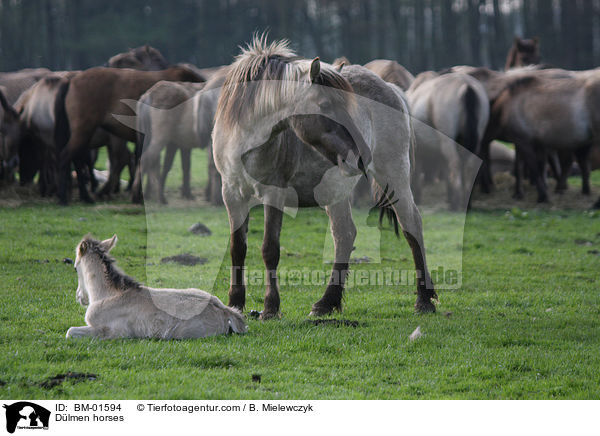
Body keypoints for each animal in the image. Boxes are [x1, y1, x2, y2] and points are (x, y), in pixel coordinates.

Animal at [54, 65, 204, 204]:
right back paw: (66, 198)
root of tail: (72, 79)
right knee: (67, 157)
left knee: (78, 162)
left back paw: (86, 196)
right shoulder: (176, 142)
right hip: (83, 132)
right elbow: (179, 165)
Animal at [68, 233, 248, 338]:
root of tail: (225, 311)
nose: (80, 298)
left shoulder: (115, 332)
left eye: (75, 267)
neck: (109, 295)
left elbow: (70, 332)